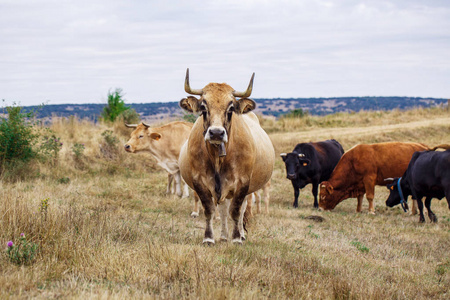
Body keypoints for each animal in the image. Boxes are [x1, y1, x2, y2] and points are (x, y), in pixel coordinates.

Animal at [179, 68, 274, 244]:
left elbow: (236, 211)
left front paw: (236, 237)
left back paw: (241, 234)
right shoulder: (199, 181)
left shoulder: (243, 183)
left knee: (241, 210)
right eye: (203, 108)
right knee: (223, 209)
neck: (218, 158)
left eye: (230, 109)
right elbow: (210, 210)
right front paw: (209, 238)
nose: (216, 133)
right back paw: (223, 235)